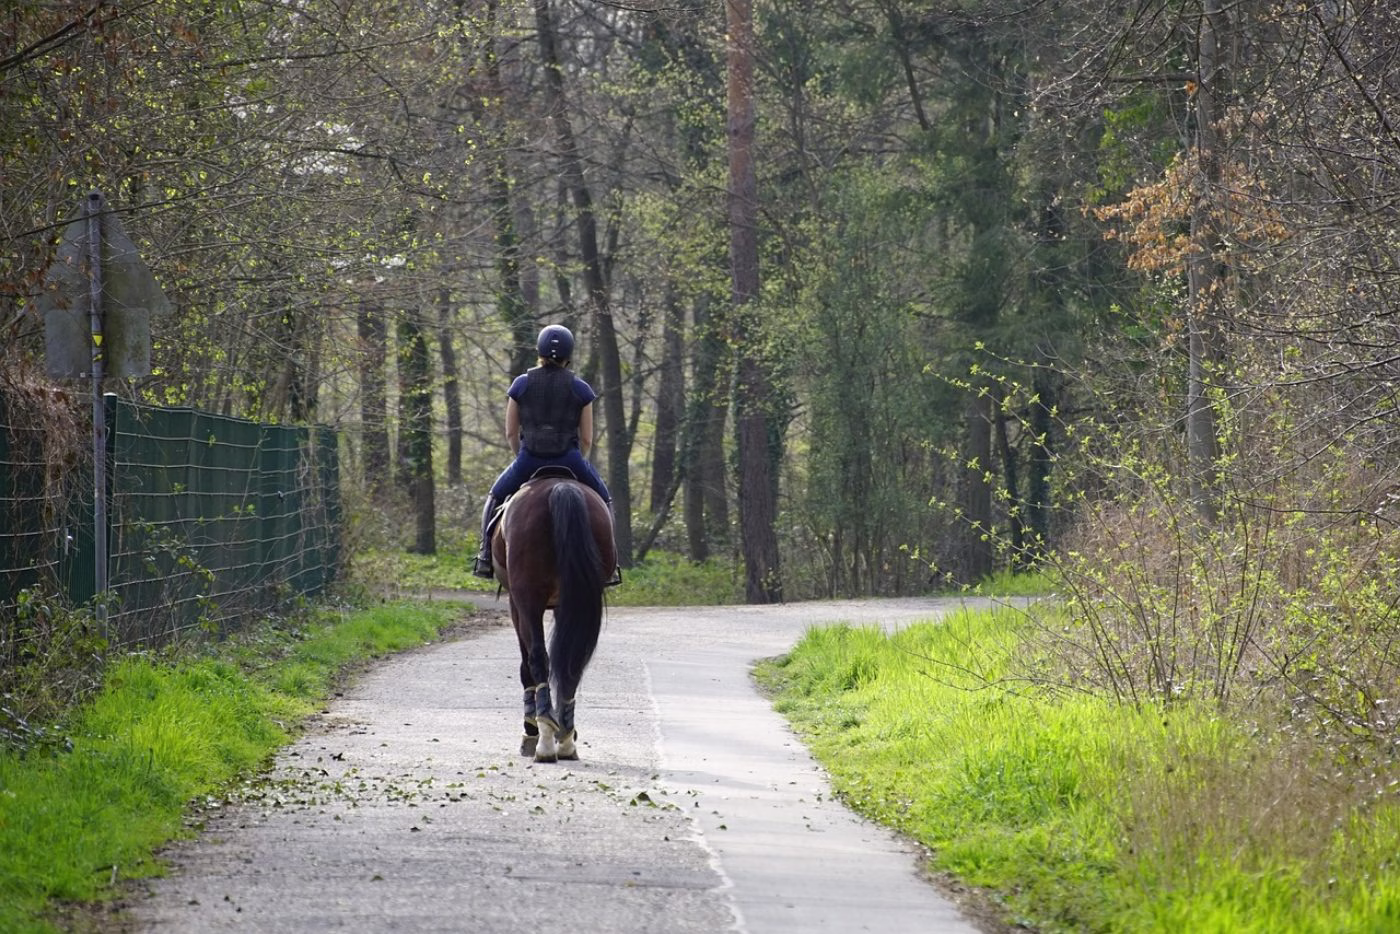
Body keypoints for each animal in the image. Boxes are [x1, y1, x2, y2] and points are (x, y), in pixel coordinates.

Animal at [490, 472, 615, 763]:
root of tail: (561, 487)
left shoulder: (516, 606)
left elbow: (527, 666)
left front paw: (530, 731)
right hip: (577, 598)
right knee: (572, 662)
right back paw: (566, 737)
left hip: (528, 598)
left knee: (537, 657)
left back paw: (544, 738)